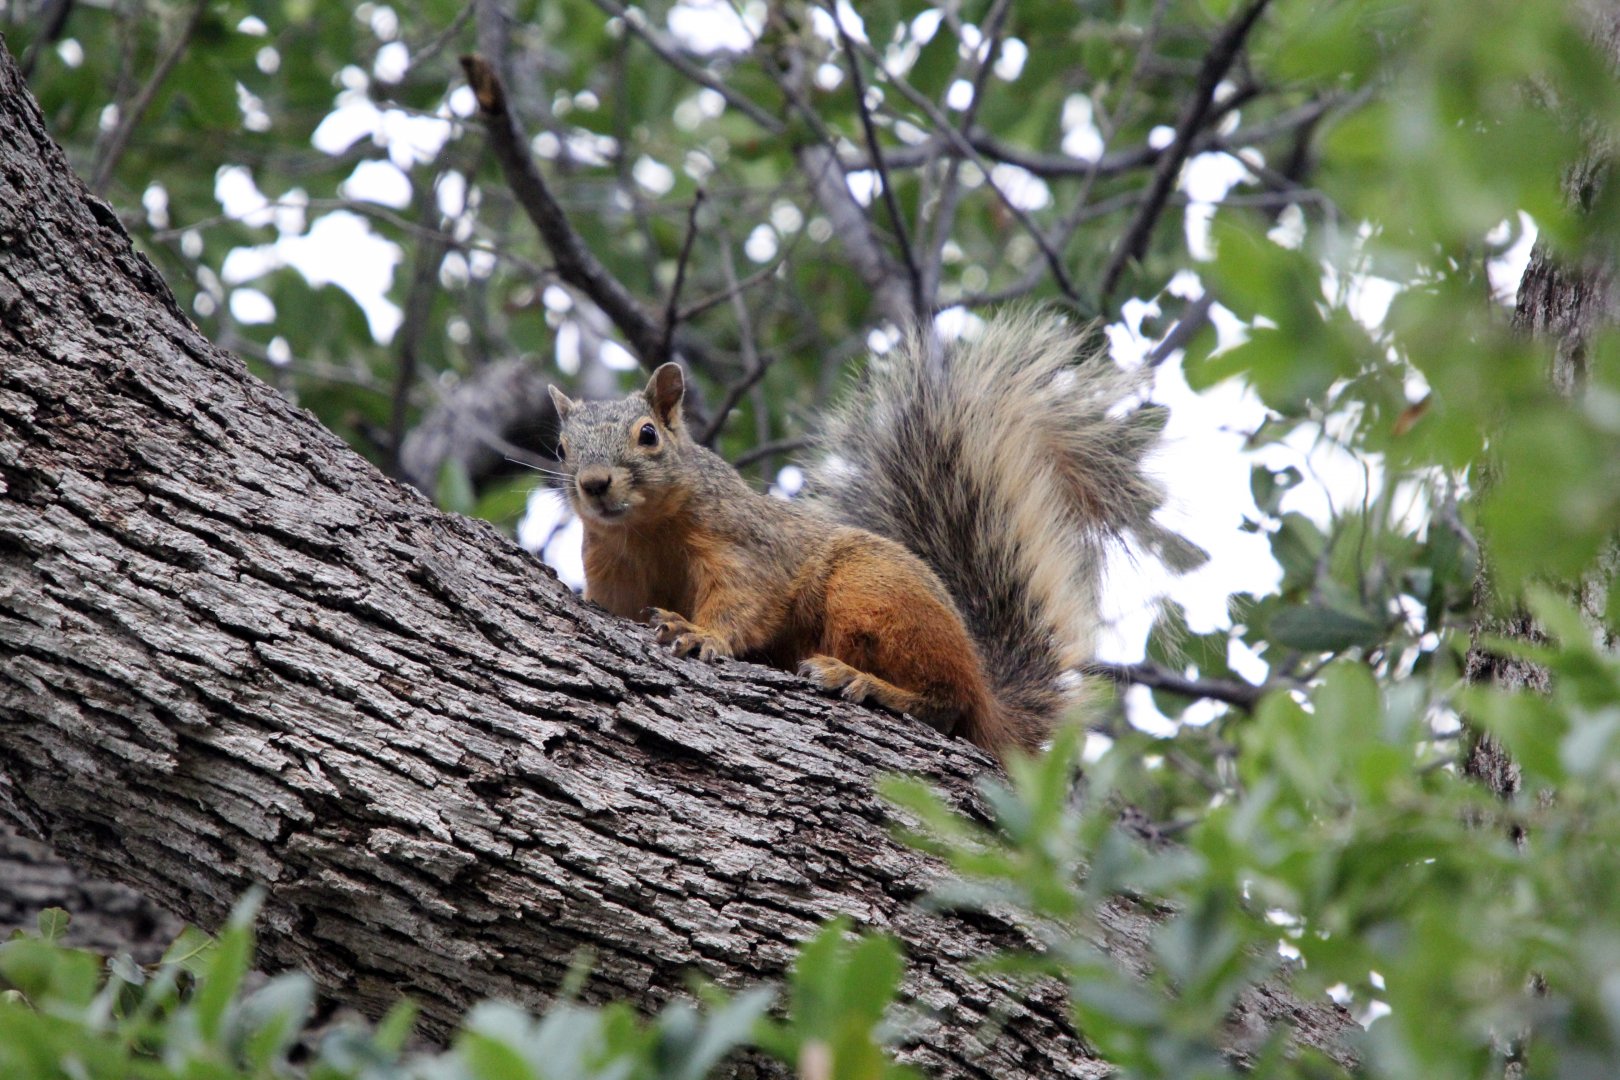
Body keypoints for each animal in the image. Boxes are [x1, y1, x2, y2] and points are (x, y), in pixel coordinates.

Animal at [547, 311, 1202, 757]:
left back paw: (860, 680)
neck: (643, 532)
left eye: (649, 434)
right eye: (561, 447)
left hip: (874, 593)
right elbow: (616, 604)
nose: (595, 485)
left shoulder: (745, 547)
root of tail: (987, 687)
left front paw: (698, 633)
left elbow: (744, 601)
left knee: (945, 703)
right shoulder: (613, 569)